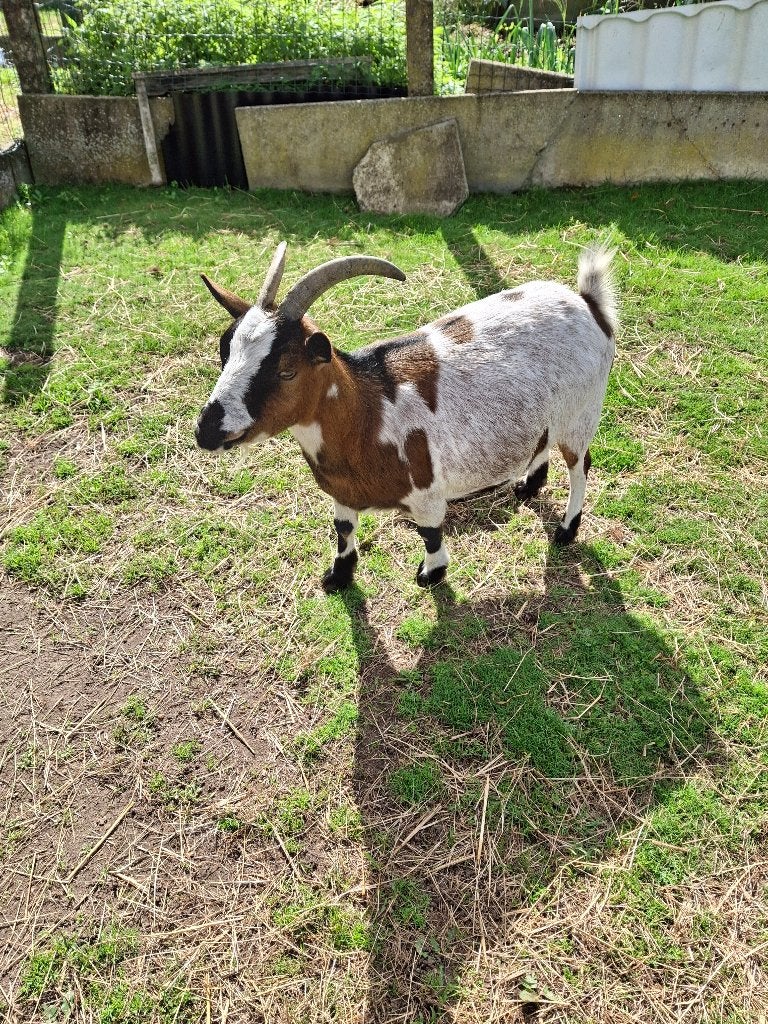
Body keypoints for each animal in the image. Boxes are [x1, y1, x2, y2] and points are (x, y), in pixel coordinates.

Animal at [195, 242, 617, 592]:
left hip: (581, 414)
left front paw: (432, 573)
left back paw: (566, 529)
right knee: (541, 443)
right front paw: (339, 576)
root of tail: (588, 304)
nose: (206, 430)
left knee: (580, 466)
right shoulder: (342, 492)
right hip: (546, 415)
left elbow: (429, 534)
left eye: (287, 371)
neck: (369, 414)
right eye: (224, 352)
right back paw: (529, 486)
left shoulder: (426, 493)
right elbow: (343, 528)